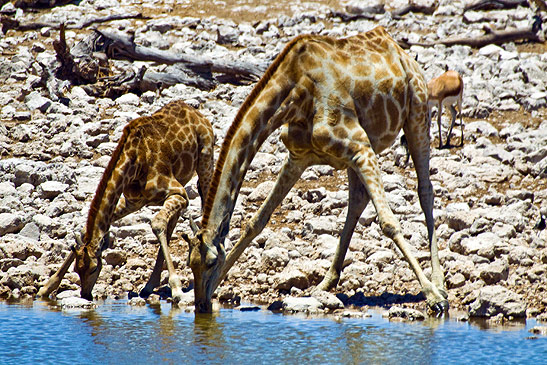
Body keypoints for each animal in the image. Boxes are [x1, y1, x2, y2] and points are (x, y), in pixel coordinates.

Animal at [184, 27, 450, 312]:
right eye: (191, 263)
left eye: (211, 262)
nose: (202, 305)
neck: (294, 93)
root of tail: (402, 52)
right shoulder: (300, 157)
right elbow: (256, 222)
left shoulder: (360, 146)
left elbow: (389, 223)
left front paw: (433, 296)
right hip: (362, 152)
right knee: (357, 201)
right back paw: (325, 283)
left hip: (417, 114)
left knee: (425, 190)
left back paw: (439, 284)